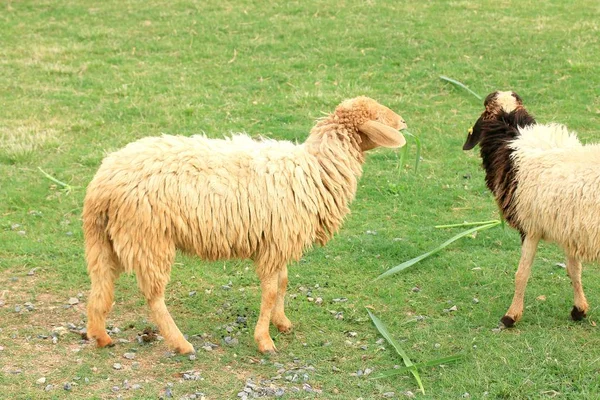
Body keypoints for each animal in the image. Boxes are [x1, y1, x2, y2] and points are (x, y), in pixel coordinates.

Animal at [83, 97, 408, 354]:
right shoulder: (274, 244)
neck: (315, 168)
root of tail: (103, 184)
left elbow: (283, 283)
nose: (404, 121)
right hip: (148, 238)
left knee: (101, 284)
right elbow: (271, 292)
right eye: (380, 116)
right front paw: (264, 340)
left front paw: (282, 322)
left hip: (106, 240)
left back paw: (100, 335)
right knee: (153, 296)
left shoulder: (279, 242)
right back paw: (180, 343)